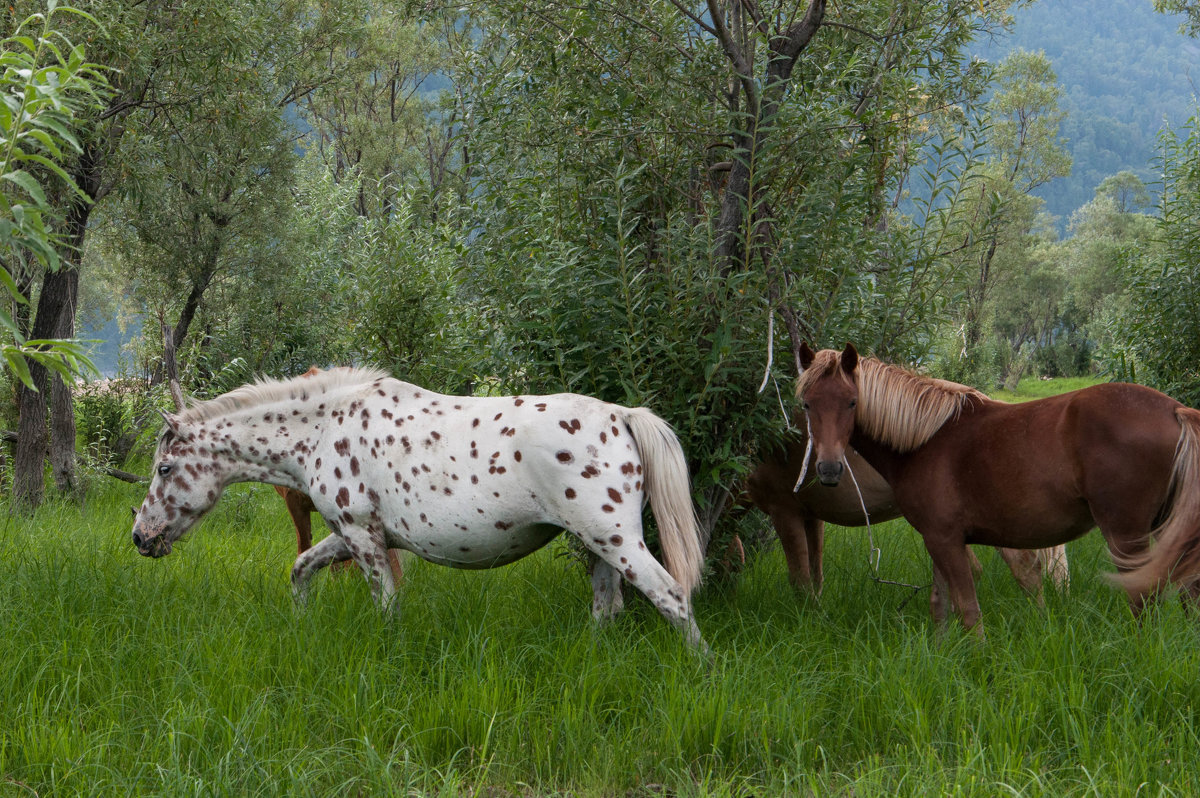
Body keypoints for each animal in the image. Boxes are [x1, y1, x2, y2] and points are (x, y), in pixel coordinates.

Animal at [129, 367, 710, 648]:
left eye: (164, 469)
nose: (140, 537)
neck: (323, 428)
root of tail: (621, 415)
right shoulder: (347, 534)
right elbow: (301, 568)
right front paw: (300, 623)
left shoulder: (362, 537)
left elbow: (386, 606)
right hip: (595, 546)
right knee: (607, 608)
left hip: (617, 541)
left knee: (672, 597)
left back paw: (701, 671)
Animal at [796, 345, 1200, 633]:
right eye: (807, 404)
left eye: (852, 402)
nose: (829, 469)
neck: (925, 440)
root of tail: (1176, 410)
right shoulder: (938, 538)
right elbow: (940, 606)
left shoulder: (945, 540)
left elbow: (968, 609)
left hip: (1127, 535)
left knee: (1144, 600)